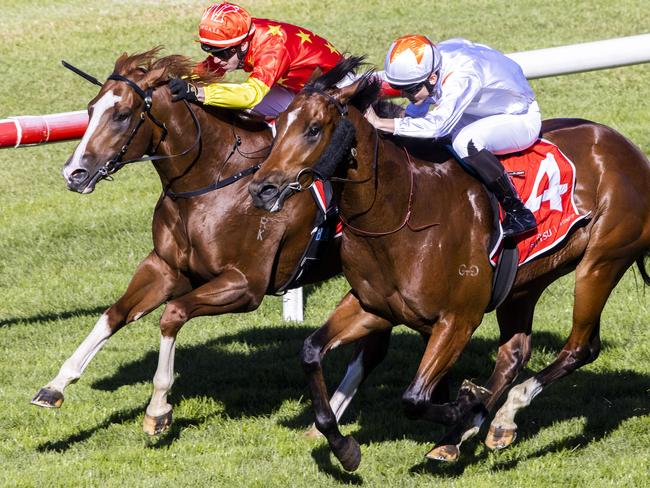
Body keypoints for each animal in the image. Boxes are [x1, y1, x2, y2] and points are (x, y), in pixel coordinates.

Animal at [33, 48, 380, 434]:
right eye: (91, 109)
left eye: (121, 115)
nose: (74, 174)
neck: (214, 182)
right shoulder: (166, 267)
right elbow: (114, 314)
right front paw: (55, 385)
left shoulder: (245, 285)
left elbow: (173, 314)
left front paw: (158, 408)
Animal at [249, 55, 650, 470]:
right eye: (279, 125)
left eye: (313, 129)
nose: (262, 189)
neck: (400, 213)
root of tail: (627, 148)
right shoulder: (373, 307)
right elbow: (311, 351)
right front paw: (345, 448)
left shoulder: (458, 318)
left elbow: (414, 398)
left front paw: (466, 404)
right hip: (524, 284)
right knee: (514, 353)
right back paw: (482, 427)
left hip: (601, 262)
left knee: (580, 347)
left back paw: (495, 416)